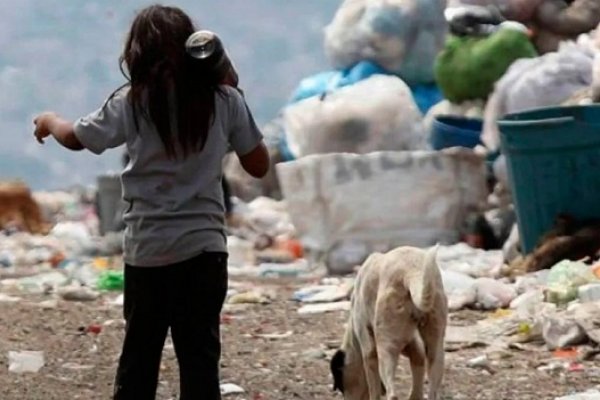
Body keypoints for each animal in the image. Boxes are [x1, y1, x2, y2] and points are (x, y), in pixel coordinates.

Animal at [330, 245, 448, 398]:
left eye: (340, 386)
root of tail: (411, 271)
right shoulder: (415, 348)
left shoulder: (369, 352)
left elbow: (373, 389)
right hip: (436, 346)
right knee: (433, 387)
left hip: (386, 348)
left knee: (392, 393)